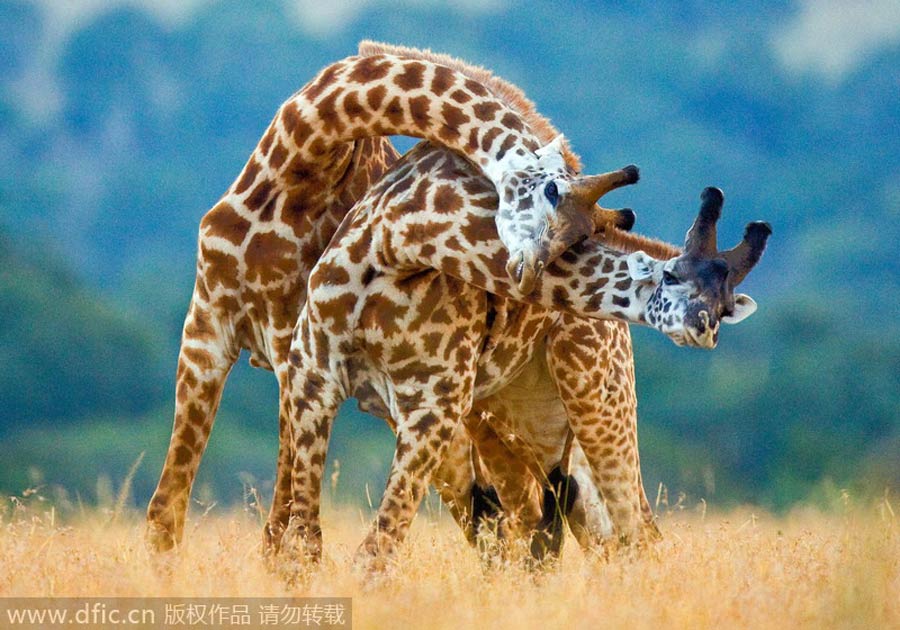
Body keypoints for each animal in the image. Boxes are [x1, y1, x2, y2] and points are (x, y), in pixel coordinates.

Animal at [145, 44, 637, 553]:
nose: (527, 281)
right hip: (511, 416)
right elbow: (166, 511)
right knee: (531, 518)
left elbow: (278, 525)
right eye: (551, 192)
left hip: (590, 393)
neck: (299, 163)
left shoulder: (288, 345)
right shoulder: (207, 328)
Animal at [280, 139, 770, 573]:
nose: (704, 326)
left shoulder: (435, 403)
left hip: (595, 400)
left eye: (726, 305)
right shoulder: (311, 372)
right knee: (562, 526)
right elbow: (306, 535)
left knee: (629, 529)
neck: (401, 242)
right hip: (524, 424)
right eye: (670, 274)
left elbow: (377, 545)